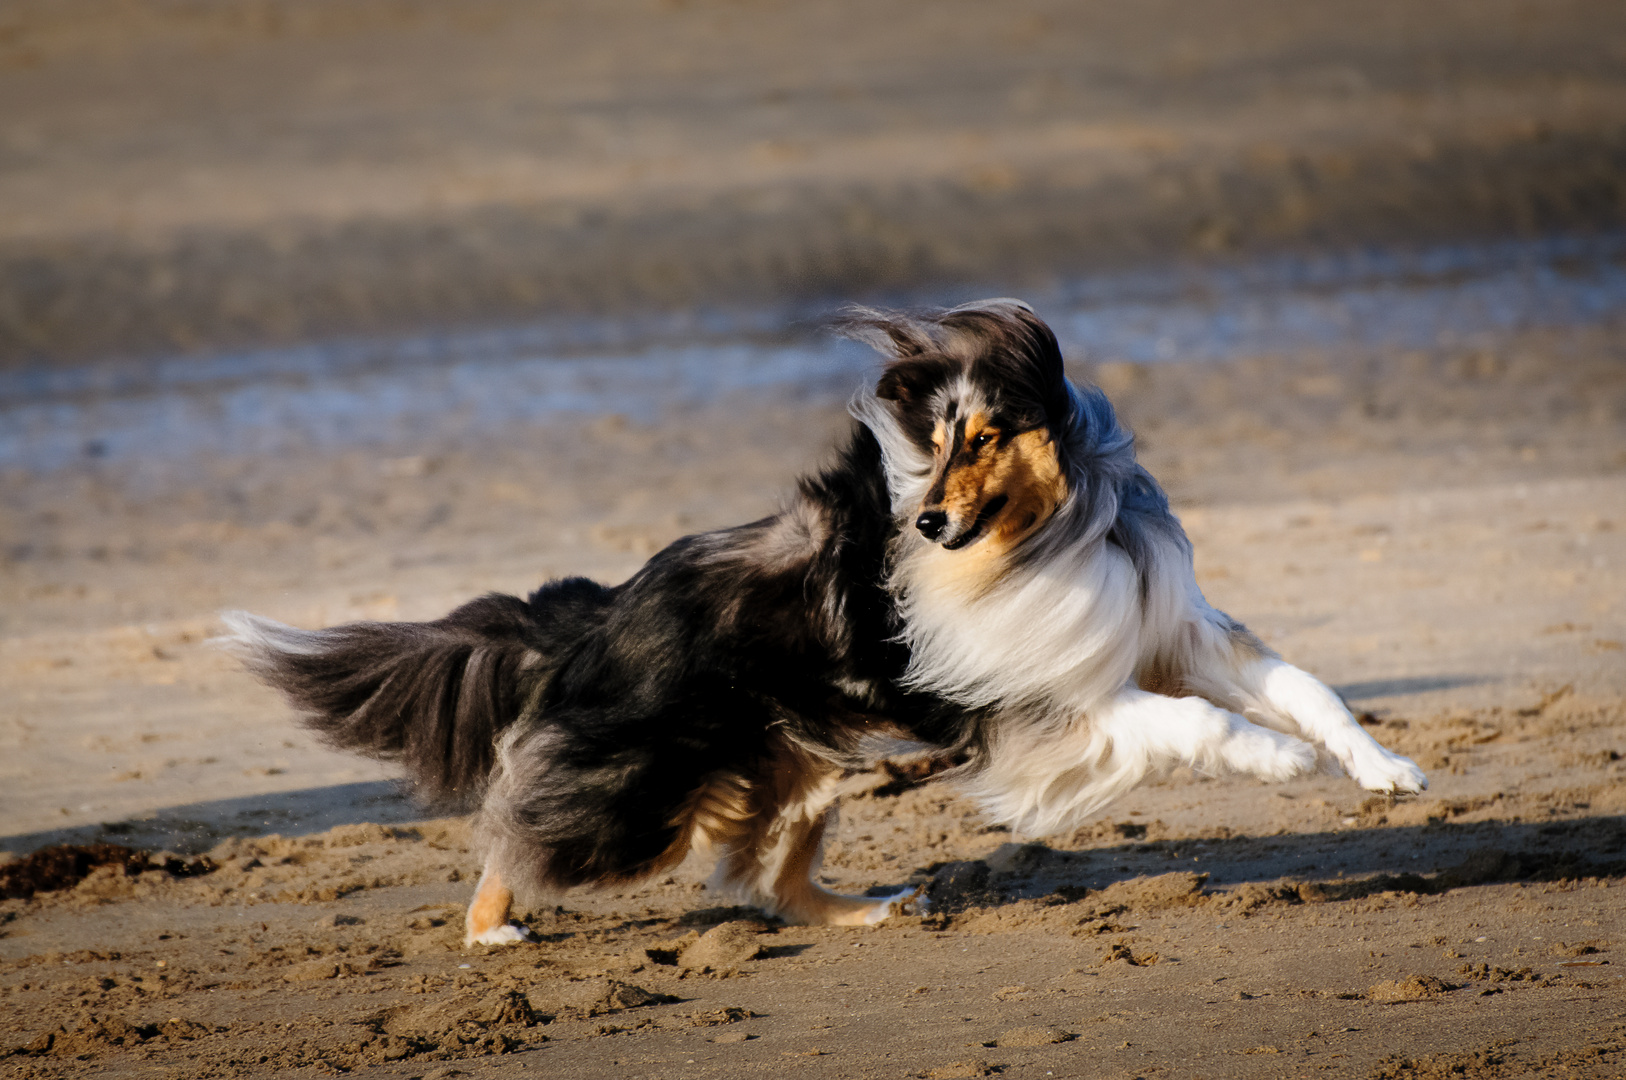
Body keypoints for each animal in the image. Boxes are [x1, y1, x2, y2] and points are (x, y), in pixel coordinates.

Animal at [226, 297, 1424, 943]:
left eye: (982, 437)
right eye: (930, 448)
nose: (928, 524)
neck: (1058, 533)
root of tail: (602, 613)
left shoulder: (1173, 632)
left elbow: (1308, 688)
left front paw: (1386, 771)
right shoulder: (1053, 703)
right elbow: (1197, 725)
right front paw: (1277, 764)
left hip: (799, 769)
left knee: (771, 880)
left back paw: (875, 911)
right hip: (646, 794)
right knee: (521, 829)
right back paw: (494, 928)